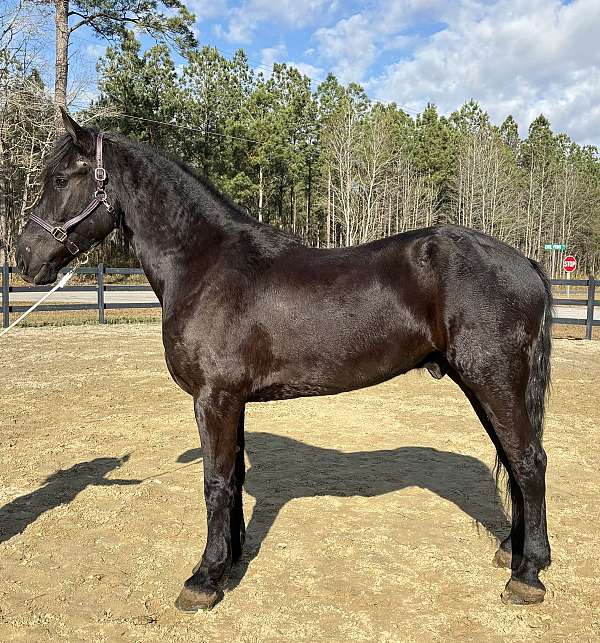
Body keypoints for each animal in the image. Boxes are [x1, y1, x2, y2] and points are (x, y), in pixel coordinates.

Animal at [15, 112, 552, 612]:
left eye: (59, 179)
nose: (24, 257)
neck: (205, 265)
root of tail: (524, 262)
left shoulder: (213, 399)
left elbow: (215, 482)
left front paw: (203, 579)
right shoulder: (233, 401)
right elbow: (234, 478)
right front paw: (230, 562)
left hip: (493, 379)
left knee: (528, 461)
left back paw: (527, 576)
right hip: (483, 383)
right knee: (513, 461)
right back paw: (515, 552)